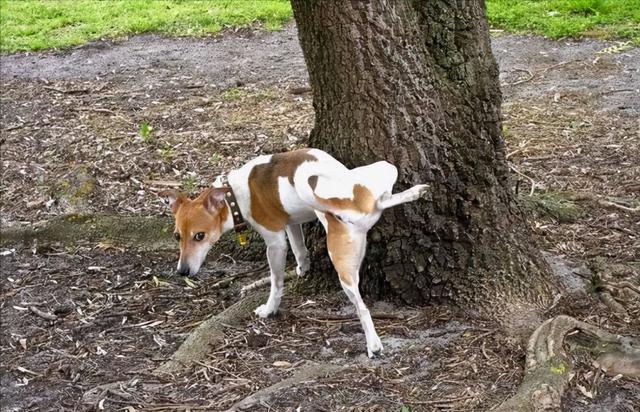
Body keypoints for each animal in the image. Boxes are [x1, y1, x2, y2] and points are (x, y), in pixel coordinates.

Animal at [162, 149, 428, 358]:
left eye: (199, 236)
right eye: (177, 237)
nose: (182, 271)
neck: (233, 194)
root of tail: (348, 205)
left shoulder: (275, 241)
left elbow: (276, 282)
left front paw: (269, 309)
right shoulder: (292, 223)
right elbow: (300, 250)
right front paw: (303, 268)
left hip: (341, 264)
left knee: (362, 308)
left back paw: (373, 346)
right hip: (383, 168)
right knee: (383, 200)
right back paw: (414, 192)